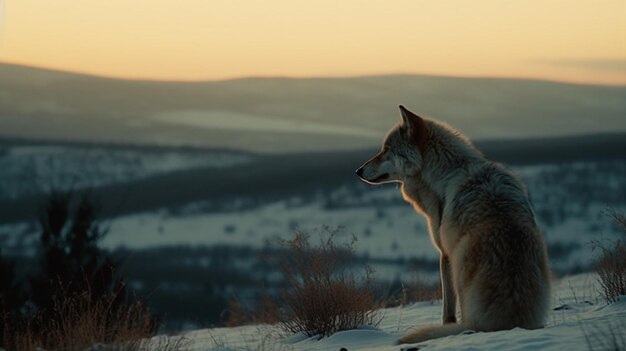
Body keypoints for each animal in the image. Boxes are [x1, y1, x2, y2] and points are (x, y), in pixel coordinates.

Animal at [356, 106, 544, 346]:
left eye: (386, 150)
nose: (358, 171)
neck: (445, 173)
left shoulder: (444, 253)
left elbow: (447, 310)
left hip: (459, 261)